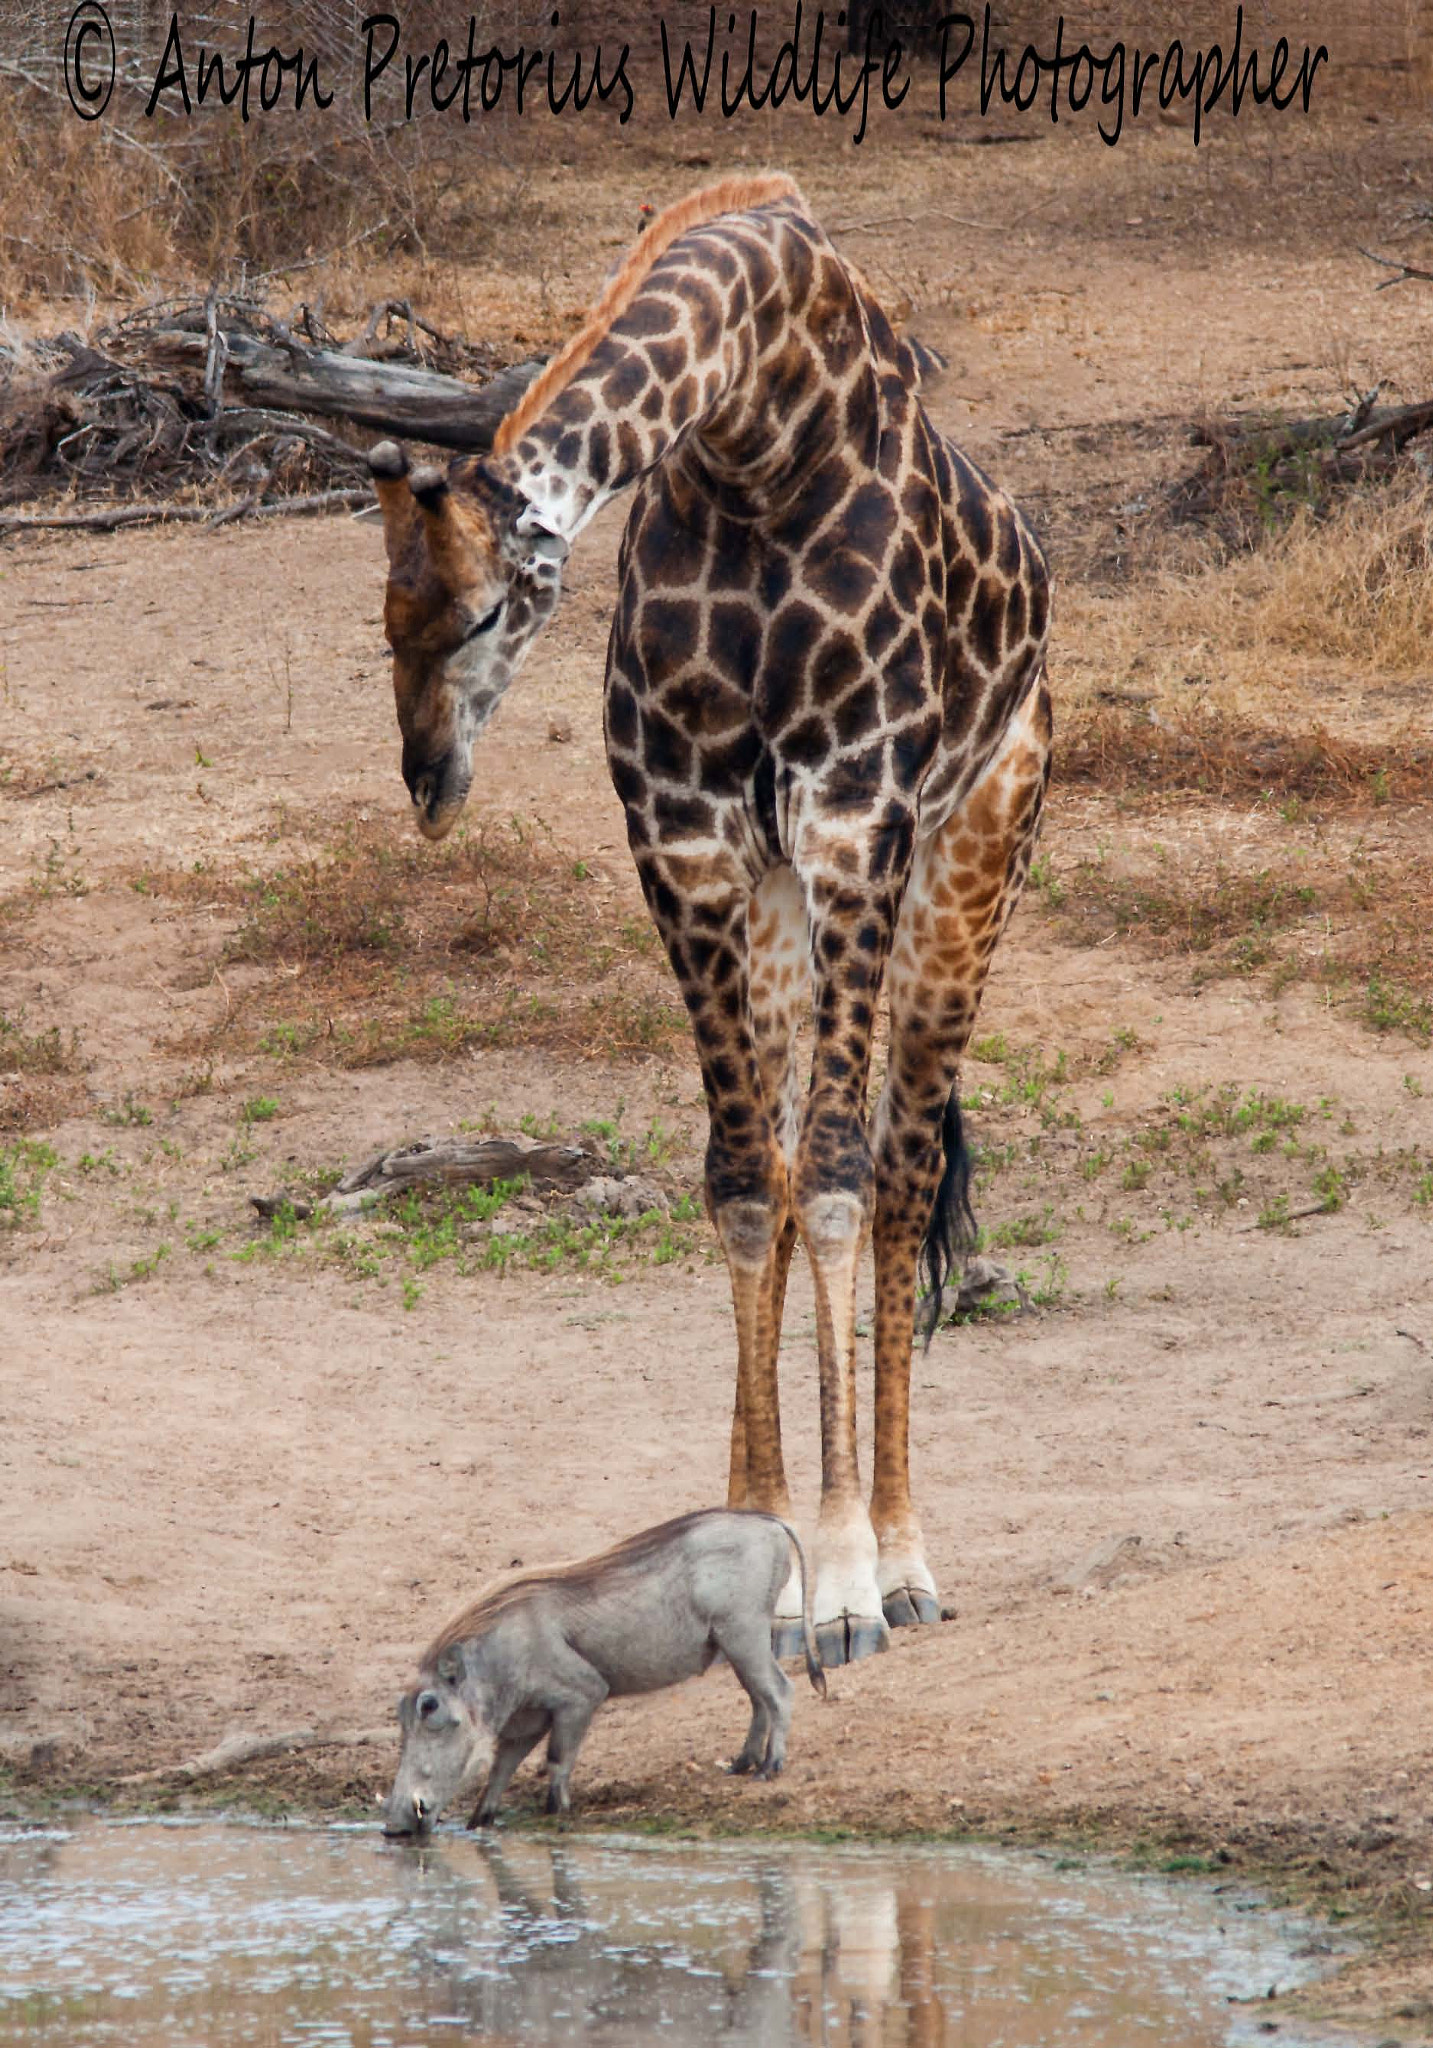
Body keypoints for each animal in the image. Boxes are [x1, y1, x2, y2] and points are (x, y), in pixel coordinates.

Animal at [367, 172, 1052, 1667]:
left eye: (491, 613)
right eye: (387, 622)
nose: (430, 781)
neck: (753, 435)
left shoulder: (856, 817)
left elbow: (844, 1183)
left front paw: (842, 1582)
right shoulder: (683, 839)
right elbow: (747, 1185)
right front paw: (764, 1562)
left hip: (968, 863)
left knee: (900, 1173)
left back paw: (906, 1563)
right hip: (782, 908)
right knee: (789, 1169)